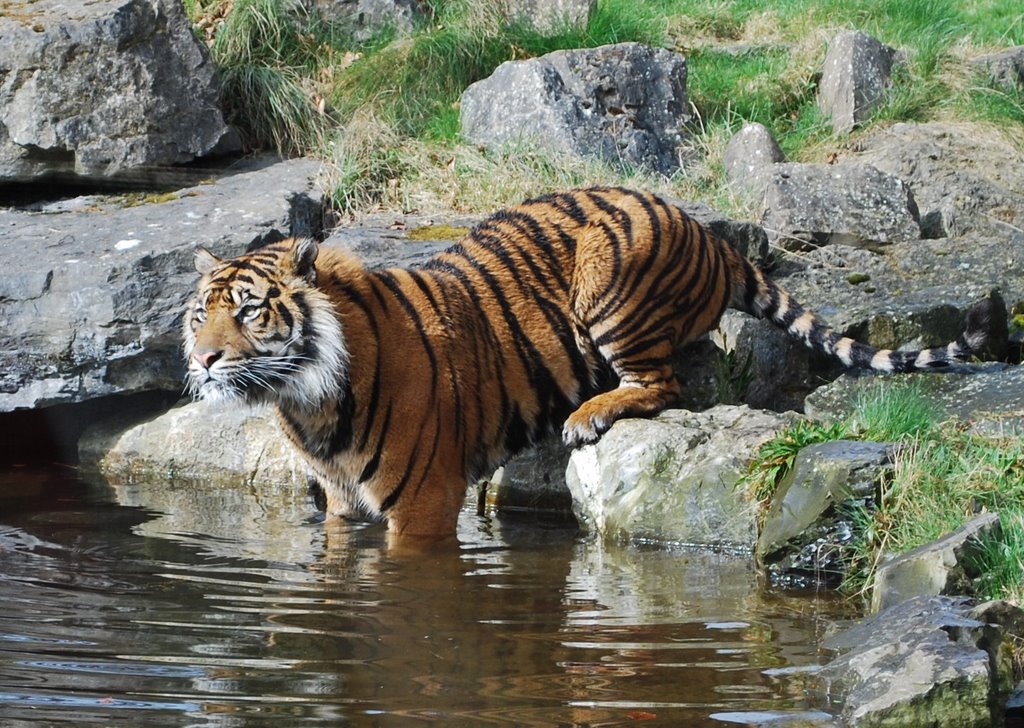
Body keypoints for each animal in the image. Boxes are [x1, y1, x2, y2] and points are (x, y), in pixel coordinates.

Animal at [182, 186, 991, 540]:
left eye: (250, 311)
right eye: (200, 313)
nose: (204, 356)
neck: (305, 400)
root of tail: (713, 234)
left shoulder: (423, 501)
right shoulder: (338, 500)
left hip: (610, 278)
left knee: (664, 383)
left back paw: (588, 416)